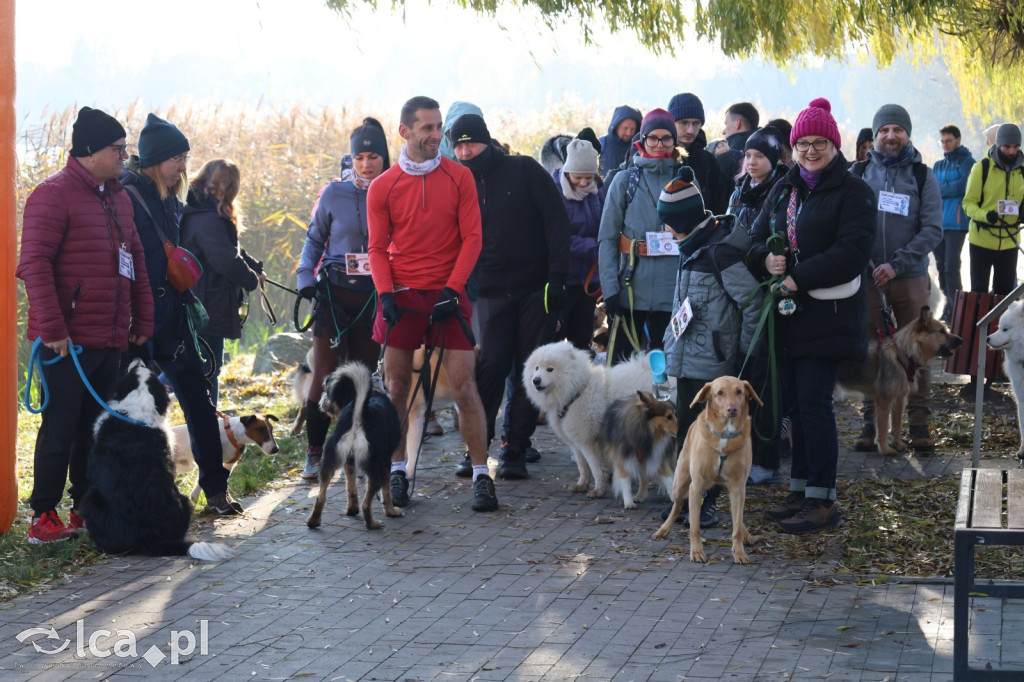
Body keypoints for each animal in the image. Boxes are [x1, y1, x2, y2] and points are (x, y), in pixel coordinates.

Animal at [79, 358, 232, 561]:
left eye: (137, 368)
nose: (138, 359)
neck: (139, 404)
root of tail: (151, 538)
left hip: (91, 499)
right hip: (184, 500)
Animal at [305, 358, 401, 528]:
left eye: (327, 391)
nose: (321, 402)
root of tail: (358, 416)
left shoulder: (349, 461)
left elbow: (351, 487)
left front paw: (351, 509)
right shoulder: (386, 462)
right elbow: (387, 490)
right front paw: (391, 511)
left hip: (329, 461)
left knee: (321, 496)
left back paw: (313, 521)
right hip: (375, 467)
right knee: (366, 503)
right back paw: (373, 524)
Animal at [524, 342, 659, 497]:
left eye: (550, 369)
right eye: (536, 368)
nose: (536, 380)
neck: (577, 392)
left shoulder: (588, 441)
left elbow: (595, 467)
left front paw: (598, 490)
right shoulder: (575, 442)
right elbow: (582, 466)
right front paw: (581, 485)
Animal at [655, 374, 761, 561]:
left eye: (739, 391)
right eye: (720, 393)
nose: (732, 409)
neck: (725, 435)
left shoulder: (738, 487)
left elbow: (736, 525)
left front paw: (739, 551)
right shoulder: (696, 487)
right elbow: (695, 527)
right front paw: (697, 552)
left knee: (737, 517)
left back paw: (745, 533)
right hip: (680, 482)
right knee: (677, 505)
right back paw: (664, 529)